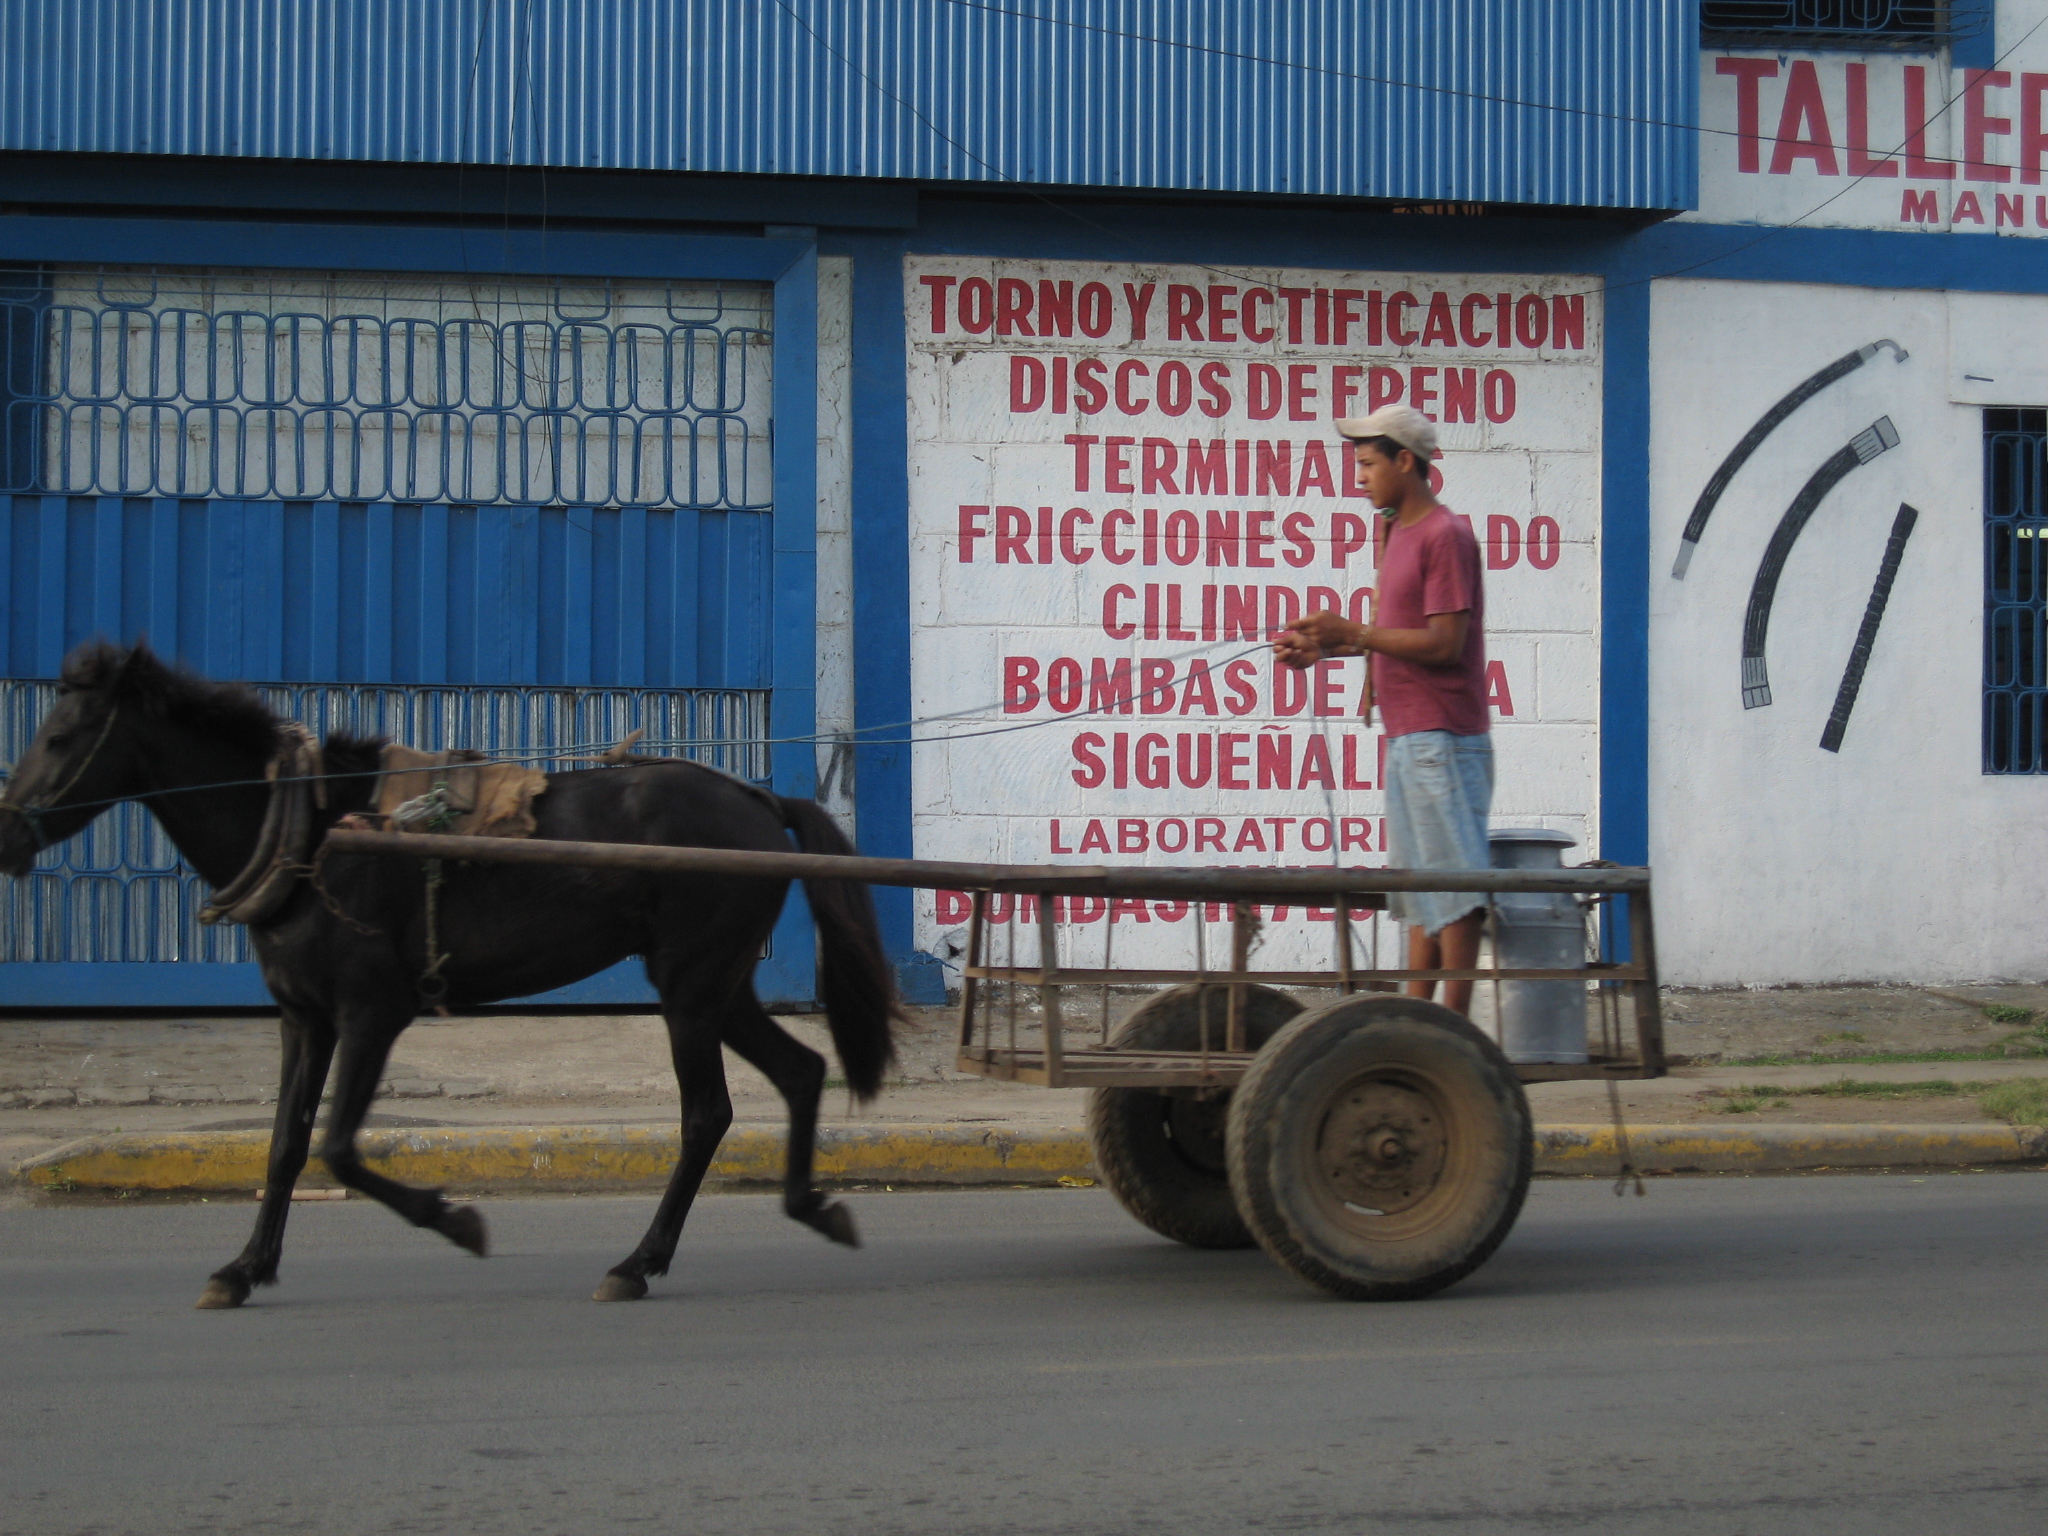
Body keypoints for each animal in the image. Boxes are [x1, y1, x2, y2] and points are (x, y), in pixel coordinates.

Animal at [0, 643, 901, 1302]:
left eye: (61, 737)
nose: (5, 830)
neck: (312, 833)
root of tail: (760, 800)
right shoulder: (305, 1018)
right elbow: (286, 1143)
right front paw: (244, 1269)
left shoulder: (372, 1012)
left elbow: (339, 1147)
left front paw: (455, 1219)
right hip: (718, 984)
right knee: (801, 1072)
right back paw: (809, 1207)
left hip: (690, 987)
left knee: (707, 1114)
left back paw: (638, 1262)